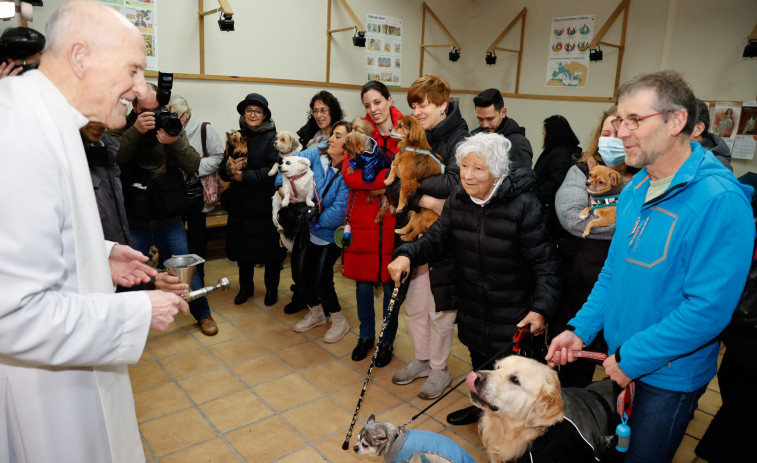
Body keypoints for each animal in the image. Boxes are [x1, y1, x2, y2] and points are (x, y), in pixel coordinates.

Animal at [384, 115, 442, 243]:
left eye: (400, 125)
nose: (389, 129)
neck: (411, 147)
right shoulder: (399, 166)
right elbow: (394, 168)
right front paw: (388, 180)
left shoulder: (408, 180)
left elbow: (402, 193)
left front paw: (400, 206)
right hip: (417, 211)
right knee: (412, 223)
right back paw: (402, 230)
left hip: (425, 214)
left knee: (417, 228)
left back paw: (406, 237)